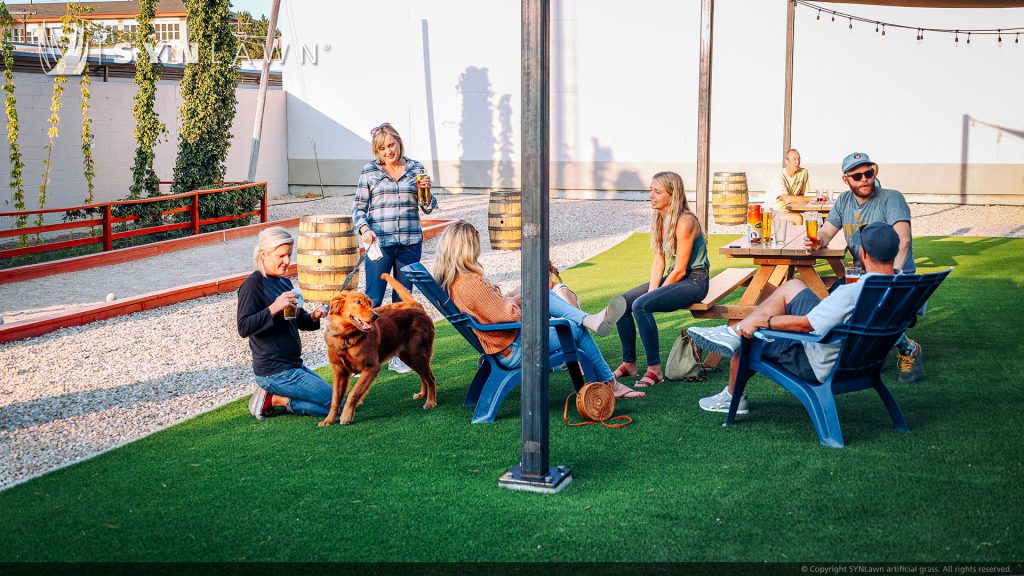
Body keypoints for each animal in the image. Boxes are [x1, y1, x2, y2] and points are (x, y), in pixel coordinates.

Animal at [317, 270, 434, 424]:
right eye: (358, 302)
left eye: (370, 303)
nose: (375, 316)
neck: (346, 337)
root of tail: (415, 304)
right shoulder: (339, 371)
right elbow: (335, 399)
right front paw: (328, 420)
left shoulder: (371, 368)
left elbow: (354, 393)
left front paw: (346, 416)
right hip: (408, 357)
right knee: (423, 376)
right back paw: (422, 394)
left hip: (418, 353)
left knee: (430, 378)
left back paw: (430, 402)